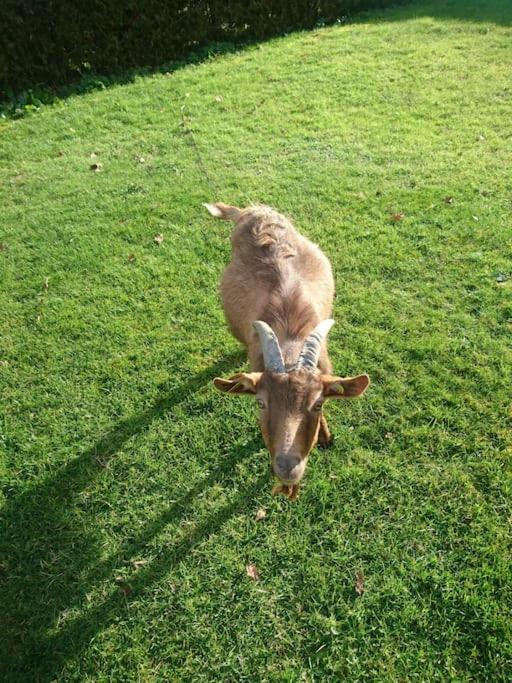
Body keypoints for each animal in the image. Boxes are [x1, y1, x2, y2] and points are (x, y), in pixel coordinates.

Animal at [204, 200, 368, 500]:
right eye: (260, 402)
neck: (290, 344)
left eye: (318, 403)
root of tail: (253, 211)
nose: (287, 467)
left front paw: (325, 436)